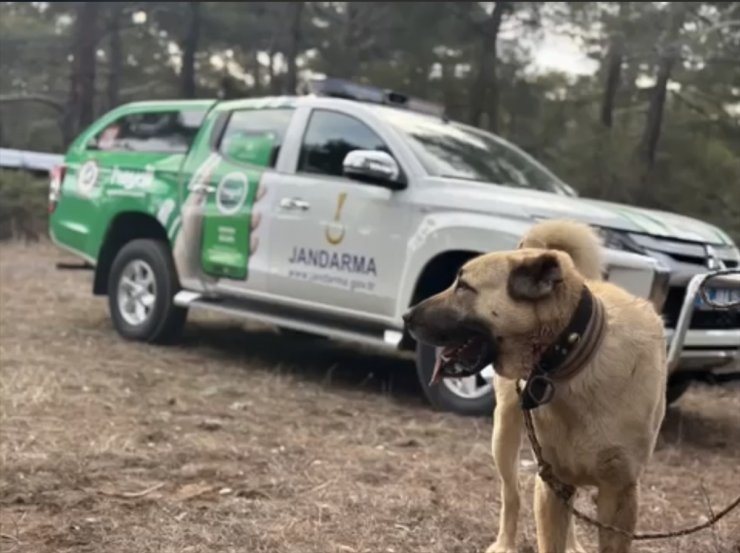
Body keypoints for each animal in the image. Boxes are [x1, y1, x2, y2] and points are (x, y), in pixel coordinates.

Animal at [404, 220, 664, 552]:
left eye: (463, 287)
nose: (406, 316)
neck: (573, 357)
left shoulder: (618, 493)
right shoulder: (550, 482)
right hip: (504, 438)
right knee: (511, 496)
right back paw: (504, 544)